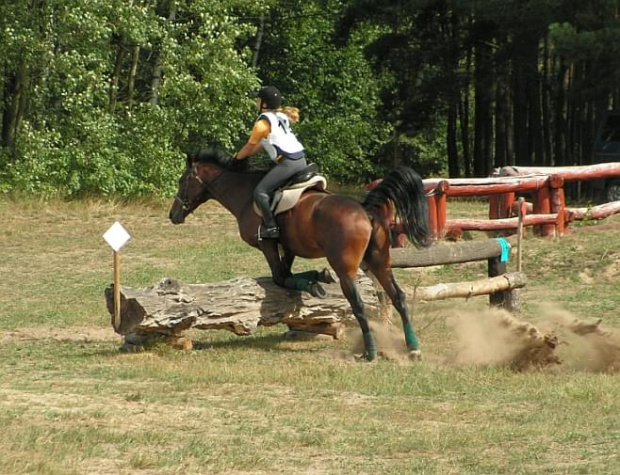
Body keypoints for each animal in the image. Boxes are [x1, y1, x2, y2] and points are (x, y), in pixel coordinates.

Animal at [170, 151, 432, 362]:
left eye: (182, 181)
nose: (173, 215)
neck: (243, 194)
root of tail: (365, 210)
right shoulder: (289, 248)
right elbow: (287, 274)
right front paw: (319, 277)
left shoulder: (267, 243)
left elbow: (279, 277)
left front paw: (315, 284)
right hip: (380, 262)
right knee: (398, 297)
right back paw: (413, 348)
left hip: (346, 267)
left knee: (358, 304)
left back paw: (370, 351)